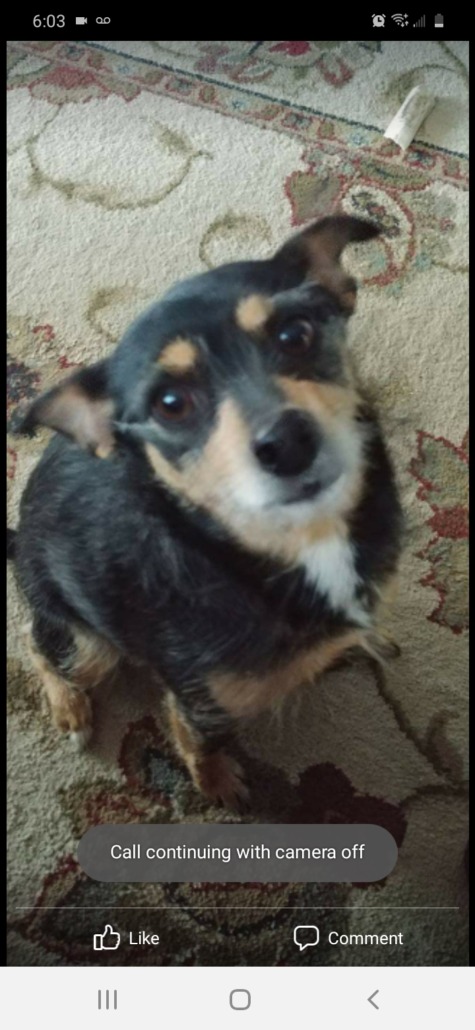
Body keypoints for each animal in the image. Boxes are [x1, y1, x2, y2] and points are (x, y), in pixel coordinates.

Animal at [10, 214, 403, 809]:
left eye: (296, 334)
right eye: (170, 405)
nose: (287, 443)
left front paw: (364, 640)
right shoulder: (202, 701)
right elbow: (198, 742)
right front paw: (217, 784)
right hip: (85, 640)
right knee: (36, 643)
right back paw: (70, 707)